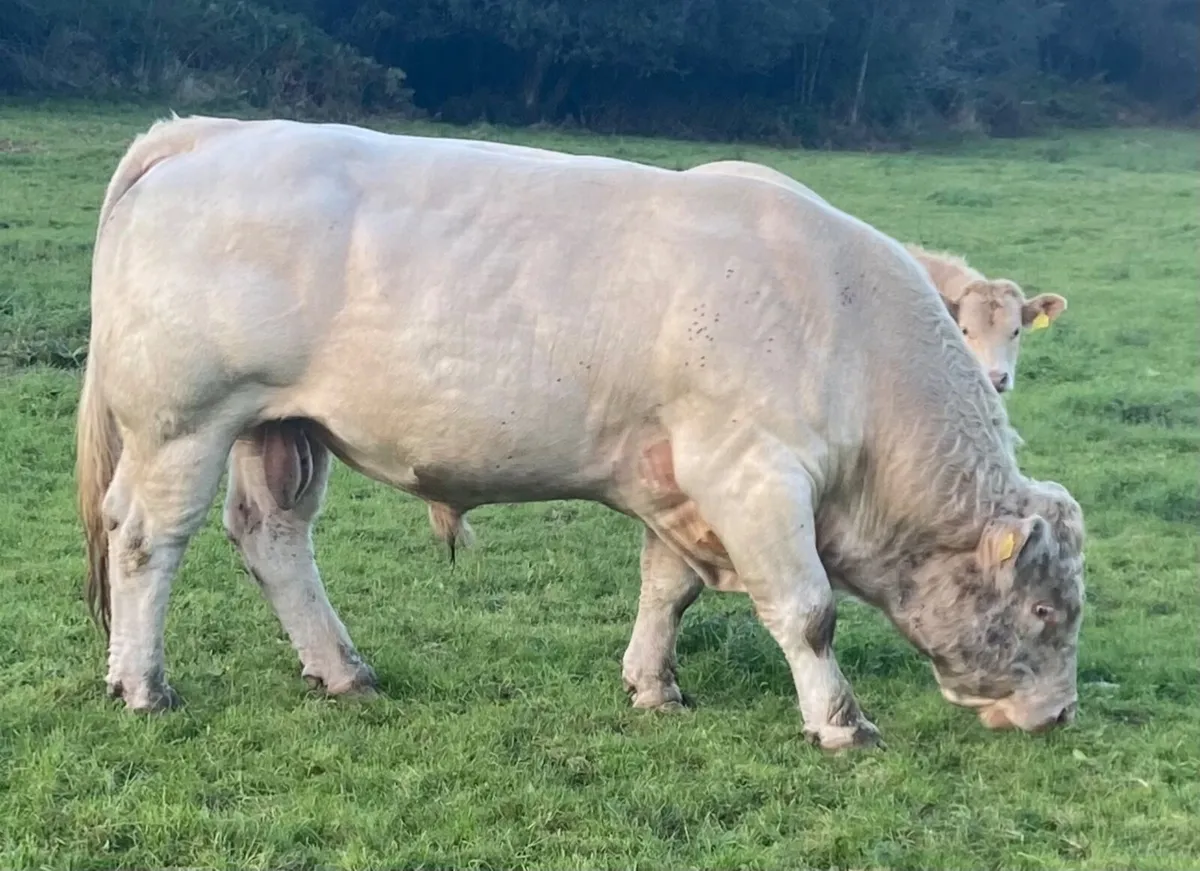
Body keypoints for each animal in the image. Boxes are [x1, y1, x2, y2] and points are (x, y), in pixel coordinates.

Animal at [76, 116, 1086, 751]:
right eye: (1047, 611)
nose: (1060, 715)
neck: (848, 327)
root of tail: (208, 132)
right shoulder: (751, 473)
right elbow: (810, 609)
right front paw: (841, 722)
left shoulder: (682, 476)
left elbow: (667, 590)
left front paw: (654, 685)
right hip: (183, 422)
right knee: (146, 540)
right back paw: (143, 684)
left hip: (278, 427)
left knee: (272, 539)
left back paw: (340, 669)